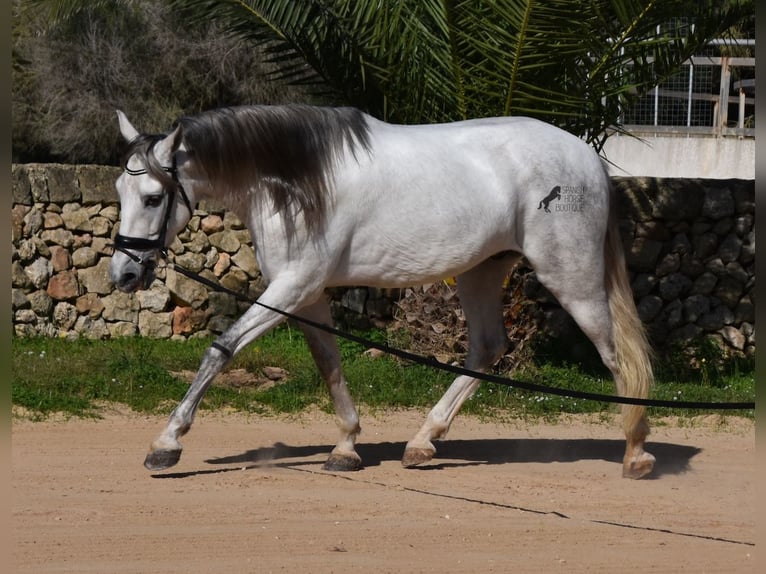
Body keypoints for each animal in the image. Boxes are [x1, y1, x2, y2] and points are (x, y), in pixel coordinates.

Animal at [109, 104, 656, 482]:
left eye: (153, 198)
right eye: (118, 190)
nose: (123, 275)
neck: (296, 181)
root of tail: (586, 158)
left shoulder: (293, 286)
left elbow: (221, 349)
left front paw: (167, 443)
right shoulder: (307, 293)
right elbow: (329, 363)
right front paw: (346, 447)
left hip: (572, 275)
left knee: (614, 353)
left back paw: (636, 451)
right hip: (481, 272)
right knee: (488, 347)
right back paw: (422, 442)